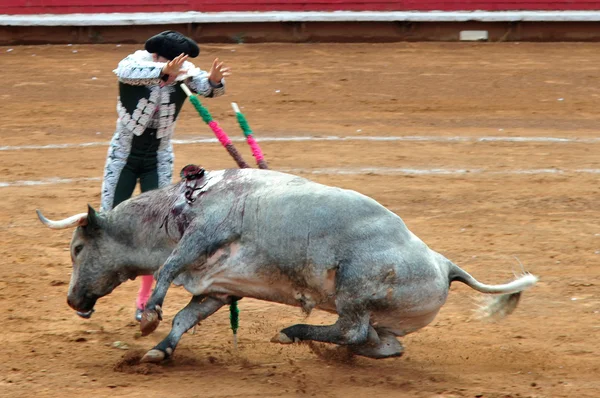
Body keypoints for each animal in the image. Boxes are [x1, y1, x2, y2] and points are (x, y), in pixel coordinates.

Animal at [35, 168, 536, 364]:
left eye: (77, 247)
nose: (72, 300)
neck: (180, 207)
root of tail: (443, 262)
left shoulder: (204, 234)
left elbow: (166, 272)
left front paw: (147, 317)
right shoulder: (219, 289)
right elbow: (185, 316)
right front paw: (160, 349)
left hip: (354, 290)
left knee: (351, 329)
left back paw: (293, 333)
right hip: (385, 318)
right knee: (382, 344)